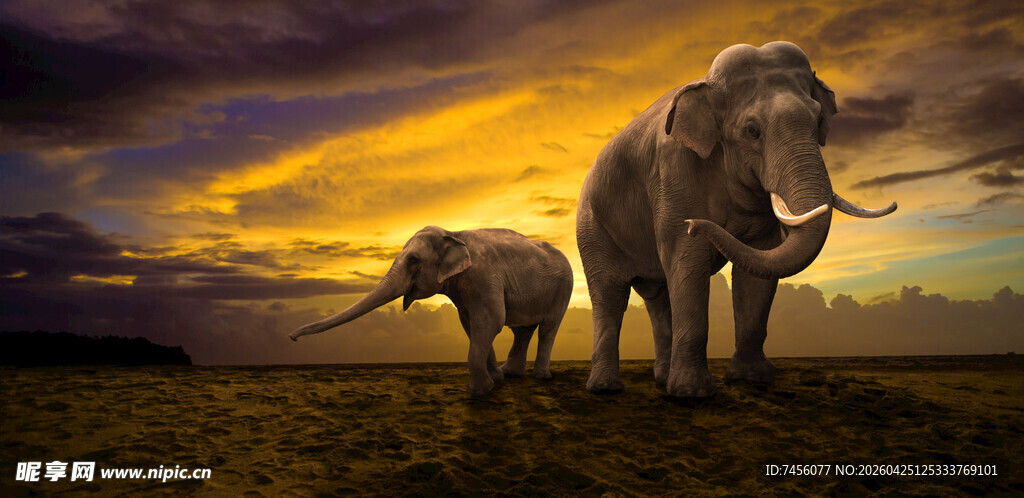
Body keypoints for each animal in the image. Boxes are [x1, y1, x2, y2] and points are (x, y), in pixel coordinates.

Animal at [289, 226, 574, 396]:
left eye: (414, 260)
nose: (292, 338)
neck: (455, 233)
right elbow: (470, 324)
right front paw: (497, 380)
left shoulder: (485, 277)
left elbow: (491, 321)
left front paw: (480, 391)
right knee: (522, 330)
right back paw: (511, 374)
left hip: (564, 287)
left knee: (548, 328)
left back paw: (541, 377)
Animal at [576, 41, 896, 397]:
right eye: (752, 131)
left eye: (817, 122)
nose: (694, 224)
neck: (707, 84)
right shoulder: (674, 174)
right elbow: (687, 261)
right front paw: (692, 394)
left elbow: (758, 267)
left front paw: (752, 378)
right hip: (592, 227)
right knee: (610, 294)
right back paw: (605, 388)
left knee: (658, 297)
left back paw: (660, 378)